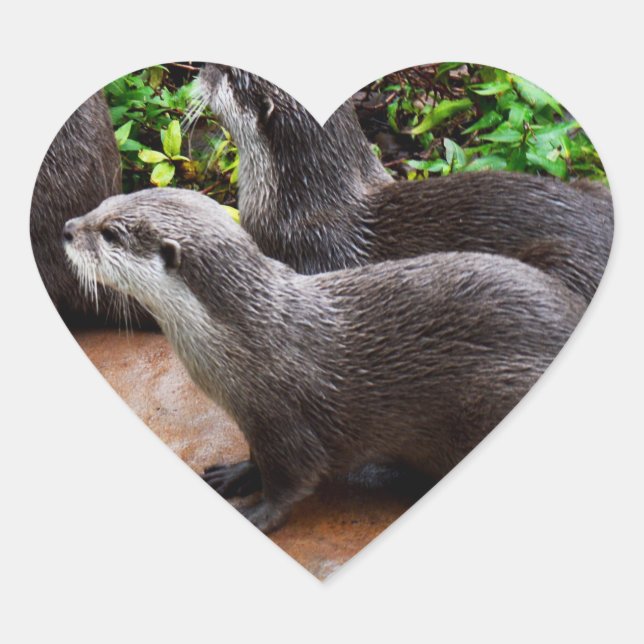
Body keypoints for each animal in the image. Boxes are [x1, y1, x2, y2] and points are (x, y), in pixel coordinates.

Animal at [63, 187, 585, 533]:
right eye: (104, 202)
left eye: (109, 233)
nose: (67, 229)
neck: (251, 340)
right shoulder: (256, 419)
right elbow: (257, 459)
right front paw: (236, 472)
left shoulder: (283, 417)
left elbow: (293, 478)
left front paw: (258, 514)